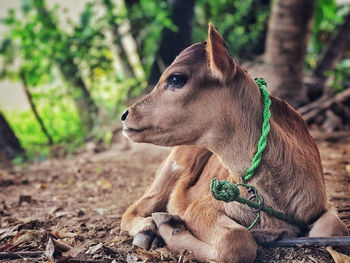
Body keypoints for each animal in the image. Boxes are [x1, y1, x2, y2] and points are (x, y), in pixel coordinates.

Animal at [119, 23, 348, 262]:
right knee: (132, 210)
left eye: (176, 79)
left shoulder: (324, 204)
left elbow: (331, 230)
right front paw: (171, 226)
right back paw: (147, 230)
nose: (125, 114)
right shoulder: (200, 206)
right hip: (171, 170)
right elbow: (236, 240)